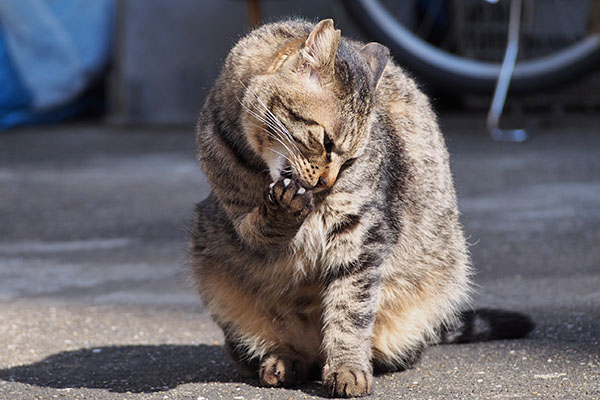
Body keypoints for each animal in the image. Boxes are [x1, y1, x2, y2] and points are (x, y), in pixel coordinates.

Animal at [189, 18, 536, 396]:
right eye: (326, 142)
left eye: (351, 159)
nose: (326, 182)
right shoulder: (239, 219)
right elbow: (263, 229)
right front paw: (282, 210)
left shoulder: (361, 232)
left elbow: (351, 308)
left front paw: (348, 368)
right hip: (210, 258)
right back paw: (282, 360)